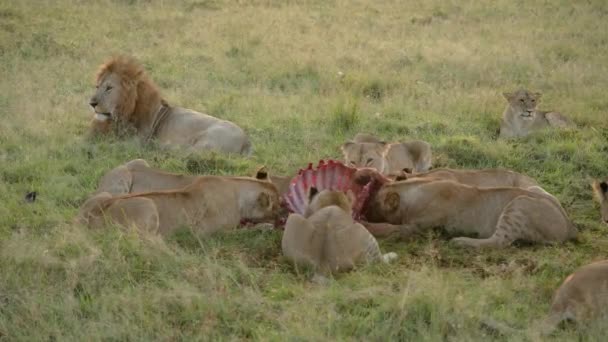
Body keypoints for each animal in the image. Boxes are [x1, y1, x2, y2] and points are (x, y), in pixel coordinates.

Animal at [76, 174, 282, 235]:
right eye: (278, 205)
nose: (283, 218)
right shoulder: (204, 233)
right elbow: (242, 231)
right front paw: (265, 227)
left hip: (104, 194)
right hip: (147, 203)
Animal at [356, 168, 580, 248]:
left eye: (373, 204)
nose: (364, 211)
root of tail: (570, 226)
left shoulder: (415, 228)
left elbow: (388, 228)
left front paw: (365, 224)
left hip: (520, 203)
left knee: (500, 242)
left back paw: (461, 241)